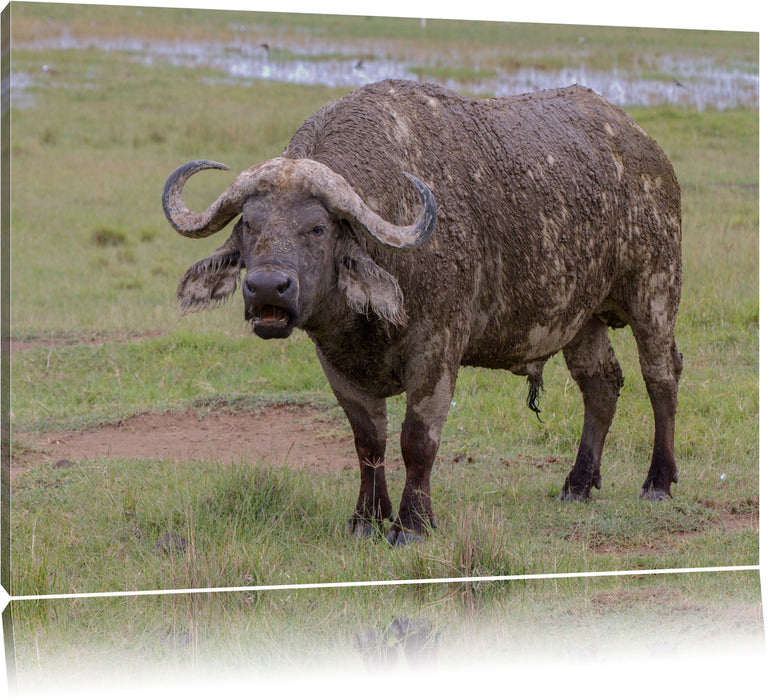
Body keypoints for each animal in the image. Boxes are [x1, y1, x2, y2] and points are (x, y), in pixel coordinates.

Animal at [162, 79, 680, 544]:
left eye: (317, 227)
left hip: (655, 292)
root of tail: (646, 148)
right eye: (250, 224)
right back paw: (578, 483)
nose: (268, 288)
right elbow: (368, 442)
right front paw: (366, 520)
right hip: (581, 318)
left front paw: (411, 525)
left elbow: (417, 440)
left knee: (661, 377)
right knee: (602, 385)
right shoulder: (335, 363)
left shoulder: (437, 352)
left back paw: (658, 481)